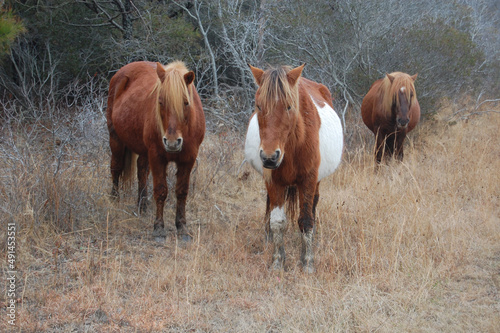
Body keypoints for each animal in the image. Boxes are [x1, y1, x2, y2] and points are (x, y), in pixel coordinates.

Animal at [107, 60, 205, 241]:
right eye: (160, 102)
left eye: (186, 102)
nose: (172, 143)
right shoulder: (157, 157)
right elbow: (161, 191)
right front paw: (159, 228)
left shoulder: (188, 159)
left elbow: (182, 192)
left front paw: (182, 227)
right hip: (116, 139)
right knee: (116, 168)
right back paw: (114, 199)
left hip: (143, 150)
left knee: (142, 171)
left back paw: (143, 205)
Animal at [245, 63, 344, 272]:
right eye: (259, 106)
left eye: (289, 106)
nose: (269, 157)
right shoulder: (273, 181)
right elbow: (277, 221)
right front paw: (277, 261)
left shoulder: (308, 180)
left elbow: (306, 220)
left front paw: (307, 262)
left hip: (316, 182)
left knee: (312, 207)